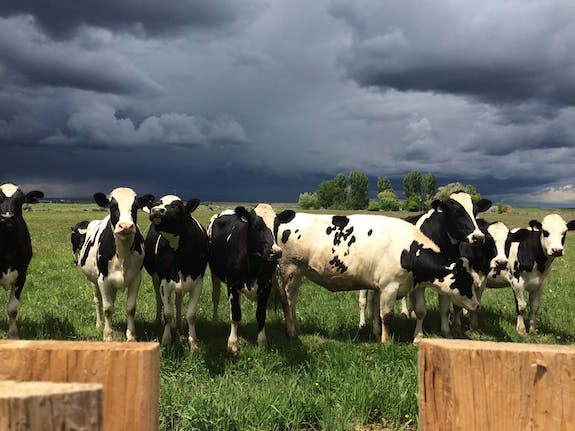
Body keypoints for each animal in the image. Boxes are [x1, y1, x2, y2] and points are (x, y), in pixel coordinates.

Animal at [79, 187, 155, 342]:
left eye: (135, 206)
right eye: (113, 206)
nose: (125, 226)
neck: (122, 255)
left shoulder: (136, 278)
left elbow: (130, 308)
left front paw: (131, 336)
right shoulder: (103, 279)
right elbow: (108, 308)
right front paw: (108, 336)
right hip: (93, 281)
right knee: (98, 301)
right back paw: (99, 325)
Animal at [144, 196, 209, 352]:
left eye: (177, 206)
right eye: (156, 204)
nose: (156, 211)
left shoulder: (198, 282)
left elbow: (191, 315)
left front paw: (193, 342)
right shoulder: (164, 282)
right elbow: (167, 314)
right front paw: (166, 340)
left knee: (178, 300)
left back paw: (179, 325)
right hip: (155, 278)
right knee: (159, 300)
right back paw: (157, 321)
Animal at [208, 205, 296, 354]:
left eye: (276, 226)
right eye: (257, 226)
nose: (276, 252)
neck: (253, 266)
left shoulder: (266, 286)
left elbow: (261, 315)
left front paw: (262, 342)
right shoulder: (232, 284)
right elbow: (235, 314)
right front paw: (232, 343)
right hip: (214, 272)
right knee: (216, 296)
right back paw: (214, 321)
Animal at [276, 213, 484, 344]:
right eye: (466, 282)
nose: (477, 306)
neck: (408, 249)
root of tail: (287, 215)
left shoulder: (404, 285)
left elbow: (409, 311)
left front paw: (413, 338)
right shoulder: (389, 286)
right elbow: (386, 314)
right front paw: (386, 341)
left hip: (298, 273)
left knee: (292, 302)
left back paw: (297, 330)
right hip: (290, 269)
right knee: (287, 301)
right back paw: (292, 333)